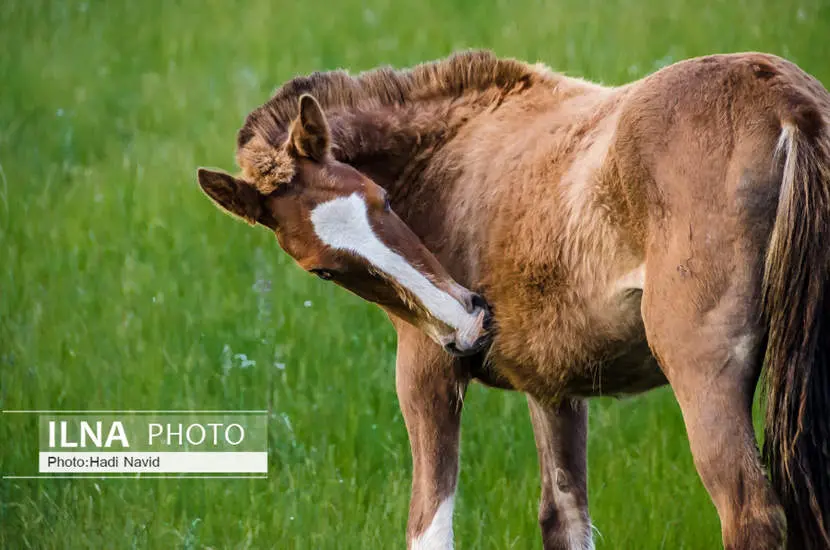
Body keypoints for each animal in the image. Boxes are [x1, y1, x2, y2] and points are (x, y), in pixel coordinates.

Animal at [200, 51, 830, 550]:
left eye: (382, 199)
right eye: (323, 271)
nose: (468, 322)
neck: (450, 150)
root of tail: (785, 102)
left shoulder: (425, 372)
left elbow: (430, 529)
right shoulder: (554, 388)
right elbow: (565, 519)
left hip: (702, 371)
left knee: (750, 515)